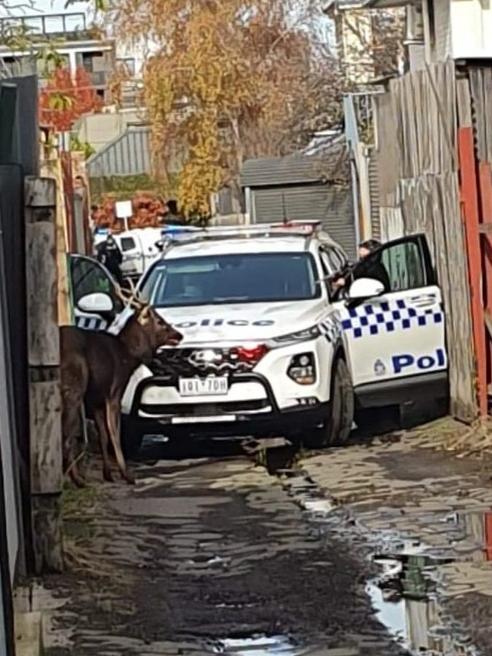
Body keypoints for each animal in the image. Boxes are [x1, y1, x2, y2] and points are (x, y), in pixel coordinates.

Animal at [61, 292, 183, 486]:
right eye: (159, 320)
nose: (179, 335)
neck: (128, 356)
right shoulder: (114, 391)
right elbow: (114, 432)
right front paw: (127, 474)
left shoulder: (96, 399)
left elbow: (103, 435)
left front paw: (108, 474)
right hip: (74, 386)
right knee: (66, 433)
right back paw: (77, 479)